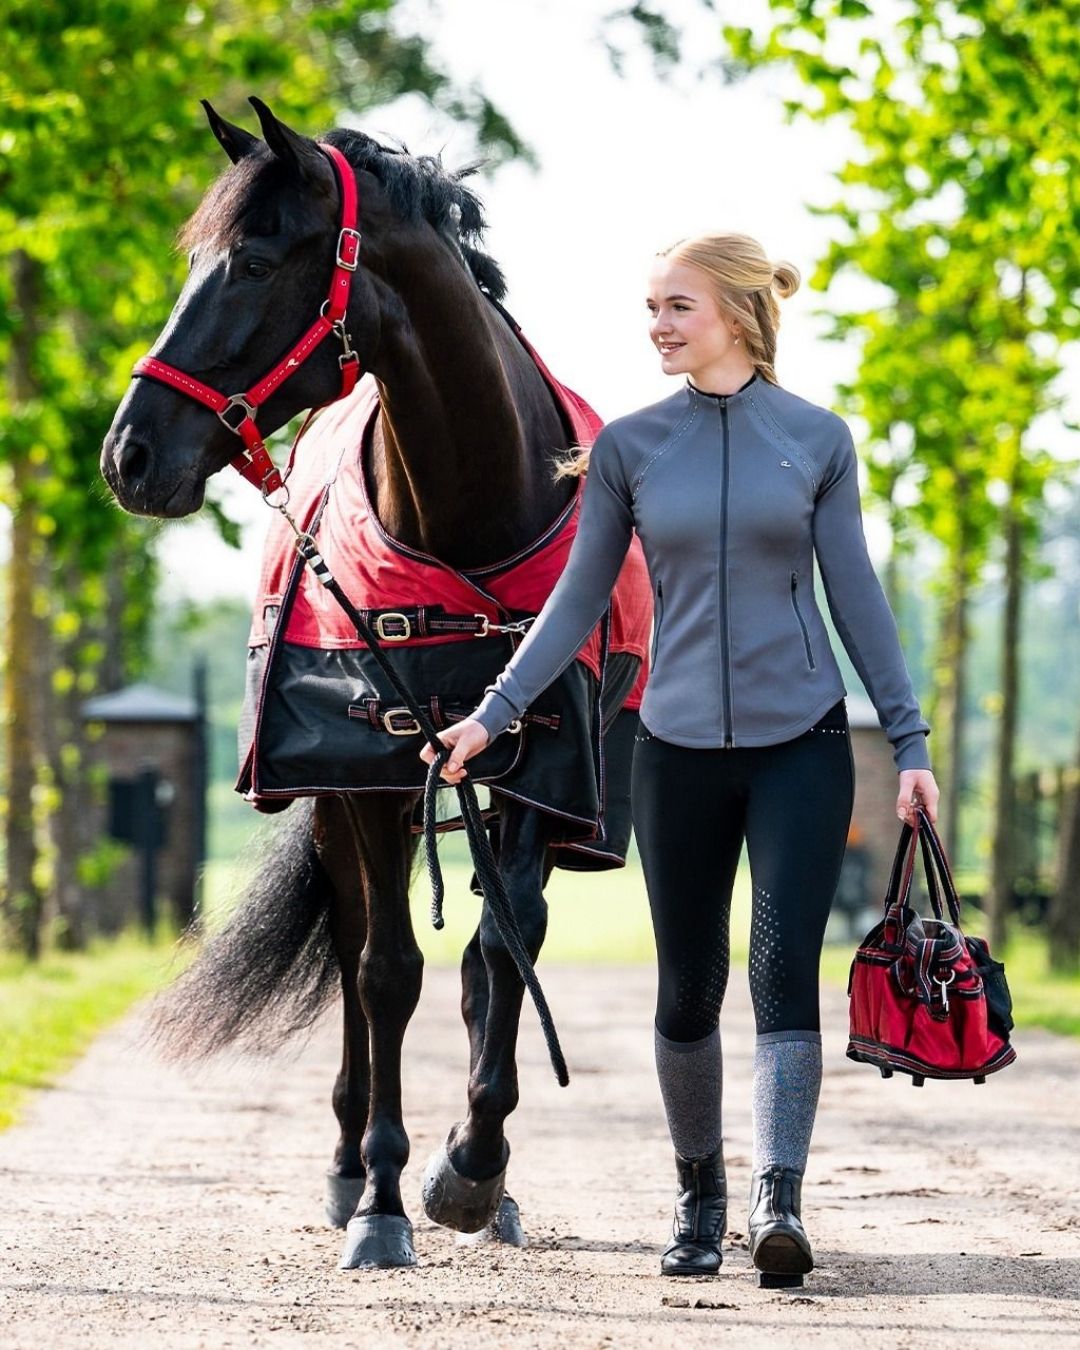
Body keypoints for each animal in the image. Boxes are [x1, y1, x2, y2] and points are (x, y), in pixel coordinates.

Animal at [101, 98, 646, 1271]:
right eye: (193, 258)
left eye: (256, 261)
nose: (129, 456)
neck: (467, 523)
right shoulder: (361, 781)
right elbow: (386, 971)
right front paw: (386, 1202)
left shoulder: (534, 779)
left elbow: (500, 958)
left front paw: (474, 1173)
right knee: (358, 961)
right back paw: (352, 1168)